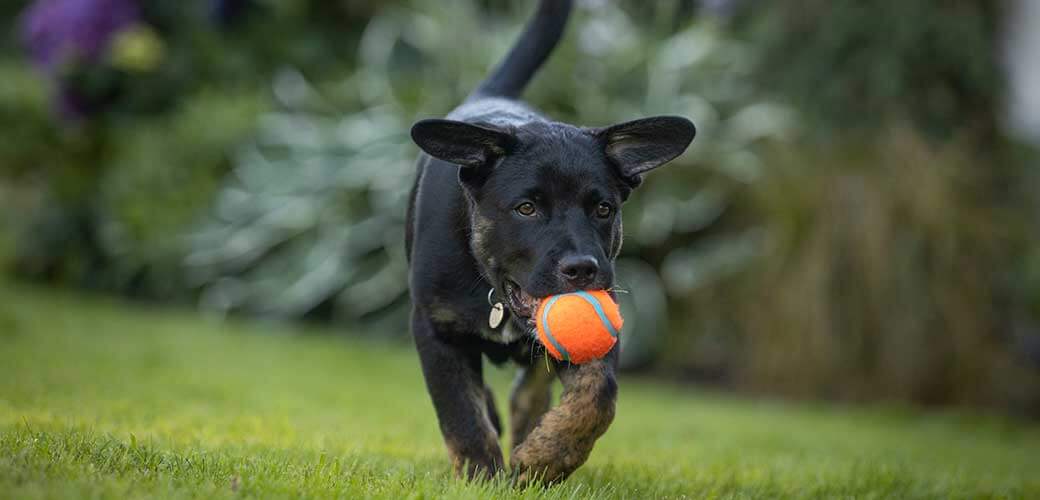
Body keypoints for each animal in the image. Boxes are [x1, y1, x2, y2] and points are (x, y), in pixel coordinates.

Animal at [405, 0, 698, 482]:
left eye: (603, 209)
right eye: (527, 208)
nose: (582, 269)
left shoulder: (605, 322)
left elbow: (598, 397)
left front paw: (546, 455)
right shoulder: (435, 326)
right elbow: (459, 409)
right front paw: (482, 473)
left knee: (532, 384)